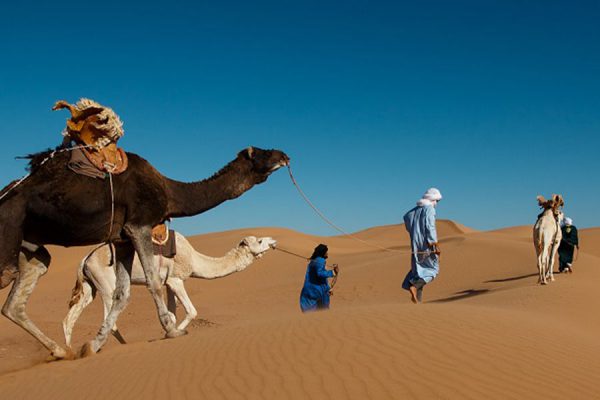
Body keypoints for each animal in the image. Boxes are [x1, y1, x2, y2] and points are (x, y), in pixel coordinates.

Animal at [62, 234, 276, 346]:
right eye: (259, 241)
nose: (273, 241)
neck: (195, 259)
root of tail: (85, 259)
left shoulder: (168, 283)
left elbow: (173, 311)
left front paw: (170, 330)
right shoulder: (176, 279)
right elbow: (191, 310)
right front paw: (174, 332)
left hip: (90, 285)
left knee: (70, 317)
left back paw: (68, 351)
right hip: (107, 282)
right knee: (110, 317)